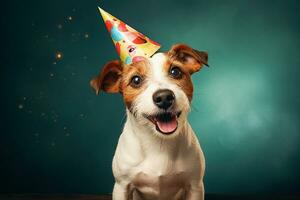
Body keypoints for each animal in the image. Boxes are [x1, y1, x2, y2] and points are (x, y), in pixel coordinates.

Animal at [90, 44, 209, 200]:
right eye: (135, 80)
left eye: (175, 71)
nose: (164, 97)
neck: (159, 143)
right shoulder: (122, 186)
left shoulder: (194, 186)